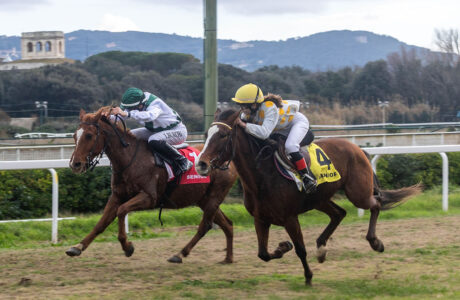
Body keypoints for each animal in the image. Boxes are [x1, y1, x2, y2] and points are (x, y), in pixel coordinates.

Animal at [66, 106, 239, 264]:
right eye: (74, 135)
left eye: (89, 135)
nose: (75, 164)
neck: (130, 159)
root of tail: (228, 162)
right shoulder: (117, 196)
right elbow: (101, 223)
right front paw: (77, 247)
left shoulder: (149, 198)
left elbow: (121, 211)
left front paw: (127, 246)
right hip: (204, 199)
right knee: (227, 224)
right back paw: (228, 258)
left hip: (214, 197)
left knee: (206, 225)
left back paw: (180, 254)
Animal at [196, 109, 422, 284]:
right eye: (207, 134)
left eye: (223, 135)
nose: (201, 164)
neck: (262, 174)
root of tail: (358, 148)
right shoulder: (261, 219)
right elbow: (263, 254)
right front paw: (283, 246)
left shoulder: (290, 218)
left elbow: (300, 250)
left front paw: (308, 276)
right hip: (319, 199)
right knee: (339, 213)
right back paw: (321, 247)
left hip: (358, 193)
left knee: (375, 204)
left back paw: (375, 242)